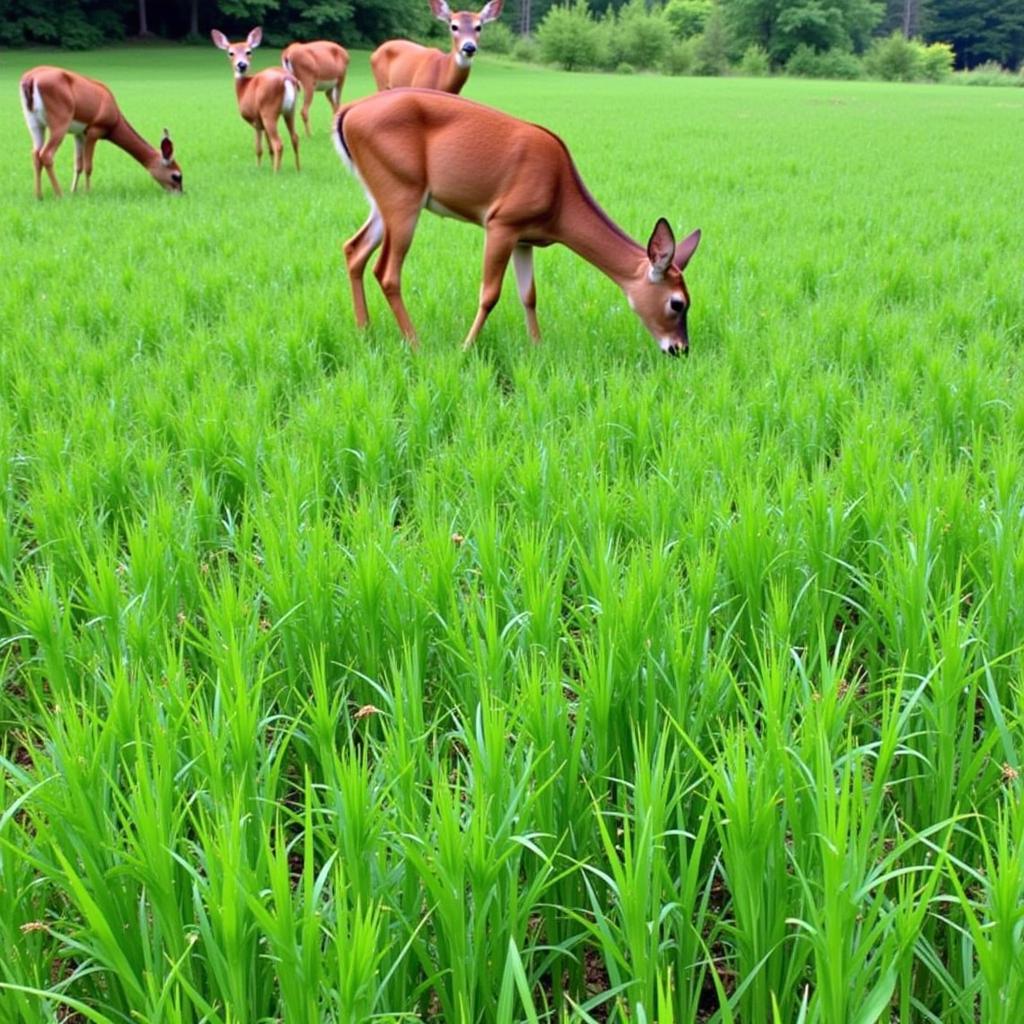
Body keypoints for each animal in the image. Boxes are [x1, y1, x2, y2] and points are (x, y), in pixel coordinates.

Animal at [18, 66, 182, 199]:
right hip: (60, 123)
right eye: (176, 176)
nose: (180, 193)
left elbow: (78, 165)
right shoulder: (94, 130)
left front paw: (74, 191)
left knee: (35, 154)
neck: (115, 119)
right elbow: (89, 166)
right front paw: (87, 193)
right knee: (46, 154)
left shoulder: (79, 134)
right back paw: (59, 195)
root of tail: (30, 79)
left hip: (34, 124)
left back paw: (38, 196)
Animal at [209, 28, 299, 173]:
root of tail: (287, 78)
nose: (241, 65)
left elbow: (258, 149)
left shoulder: (256, 120)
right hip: (290, 110)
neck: (244, 88)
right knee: (295, 137)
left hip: (268, 110)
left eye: (248, 51)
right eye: (231, 53)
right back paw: (298, 169)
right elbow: (269, 149)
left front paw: (258, 168)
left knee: (278, 143)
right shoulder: (262, 123)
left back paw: (276, 172)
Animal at [335, 89, 704, 360]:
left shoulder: (525, 238)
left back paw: (364, 330)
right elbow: (490, 294)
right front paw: (465, 349)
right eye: (677, 303)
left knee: (354, 248)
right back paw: (416, 344)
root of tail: (347, 113)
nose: (680, 349)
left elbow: (529, 295)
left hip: (380, 196)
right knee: (387, 271)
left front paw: (538, 348)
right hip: (402, 192)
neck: (559, 198)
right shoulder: (502, 222)